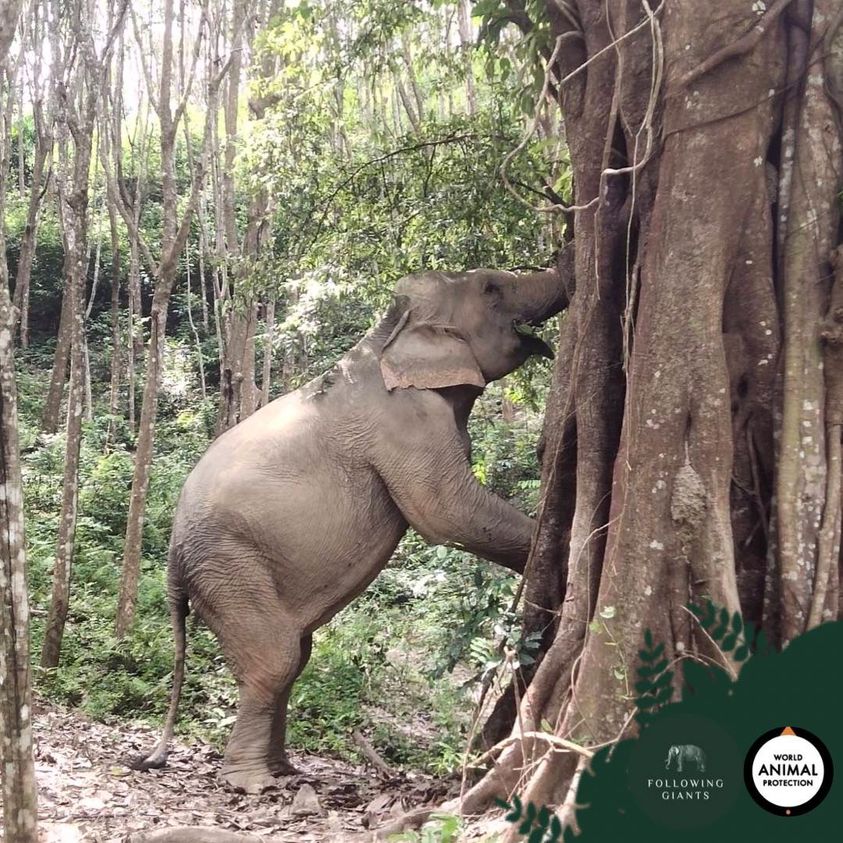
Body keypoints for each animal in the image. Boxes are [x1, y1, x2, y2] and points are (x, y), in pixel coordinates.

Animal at [135, 266, 568, 793]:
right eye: (491, 288)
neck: (385, 334)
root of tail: (172, 564)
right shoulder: (408, 421)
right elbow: (447, 513)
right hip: (226, 565)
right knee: (277, 660)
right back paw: (255, 783)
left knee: (295, 654)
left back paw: (284, 770)